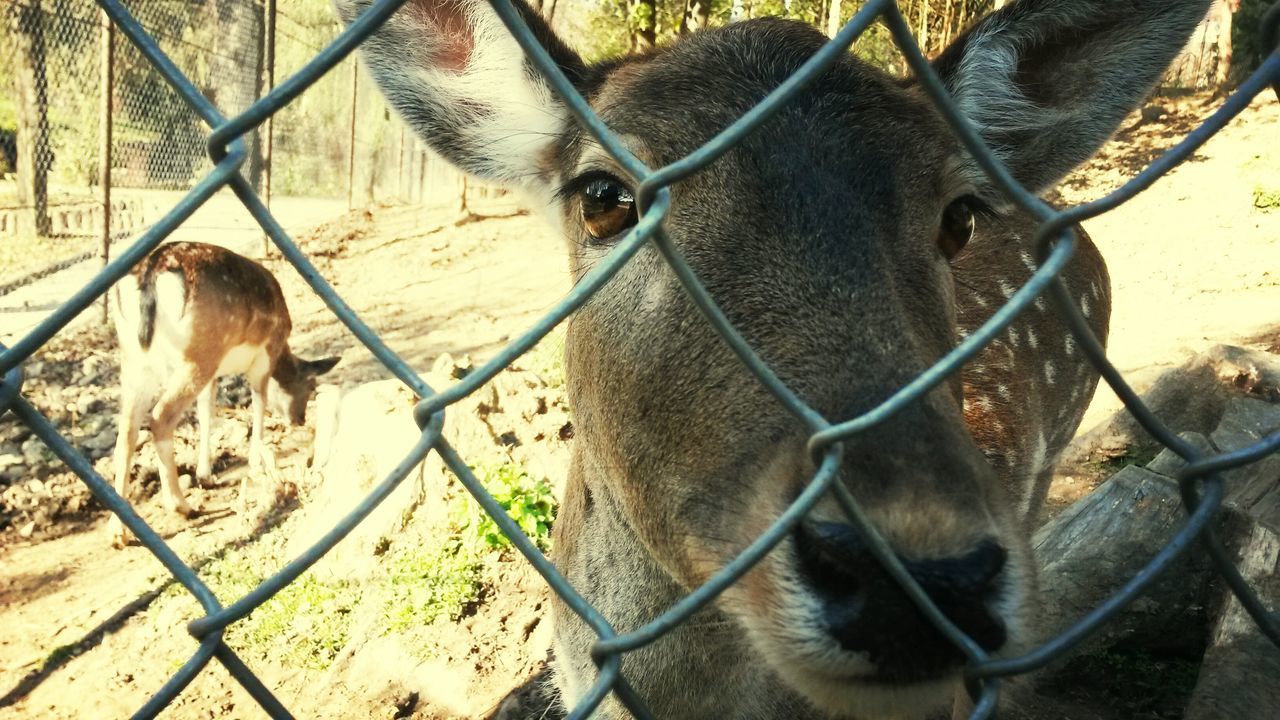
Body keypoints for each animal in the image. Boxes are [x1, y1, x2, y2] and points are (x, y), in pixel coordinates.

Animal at [109, 240, 337, 543]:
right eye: (310, 387)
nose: (299, 419)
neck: (282, 351)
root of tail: (150, 275)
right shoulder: (264, 354)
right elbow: (259, 400)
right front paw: (256, 461)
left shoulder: (215, 374)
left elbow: (207, 411)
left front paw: (205, 474)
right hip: (198, 354)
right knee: (161, 417)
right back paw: (180, 505)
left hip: (136, 361)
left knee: (126, 430)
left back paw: (118, 533)